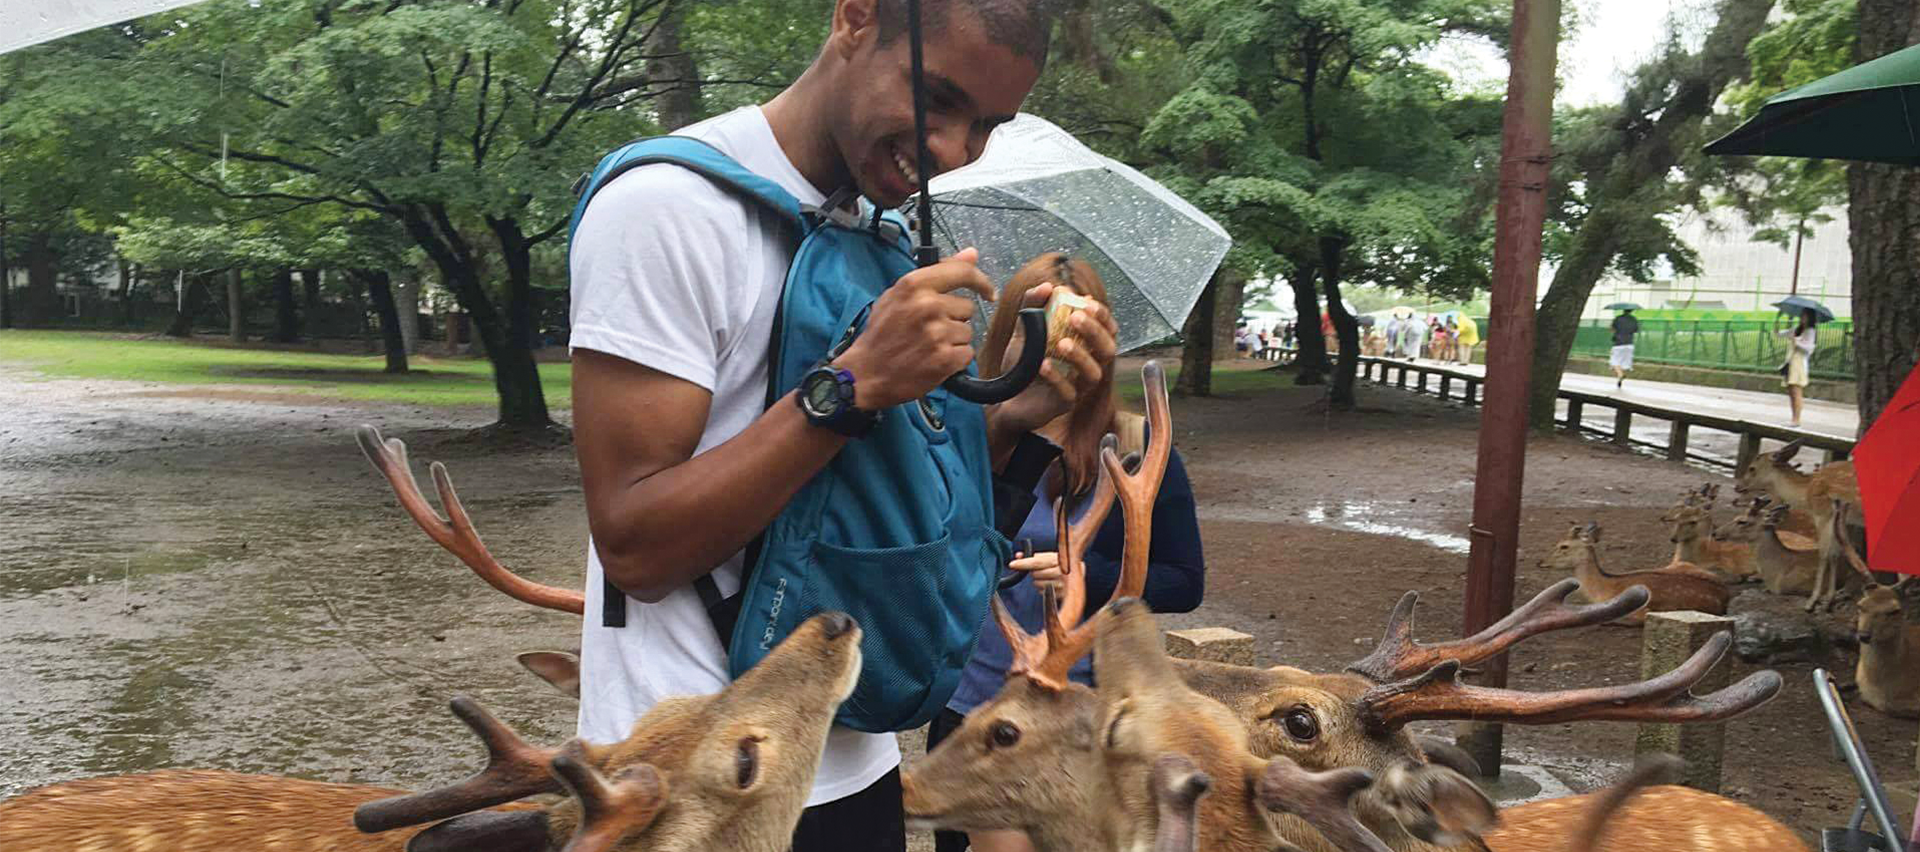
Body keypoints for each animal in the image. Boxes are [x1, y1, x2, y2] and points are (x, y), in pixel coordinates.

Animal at [1536, 521, 1735, 621]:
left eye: (1564, 546)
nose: (1540, 561)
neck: (1604, 590)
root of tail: (1726, 593)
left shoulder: (1640, 612)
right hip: (1680, 564)